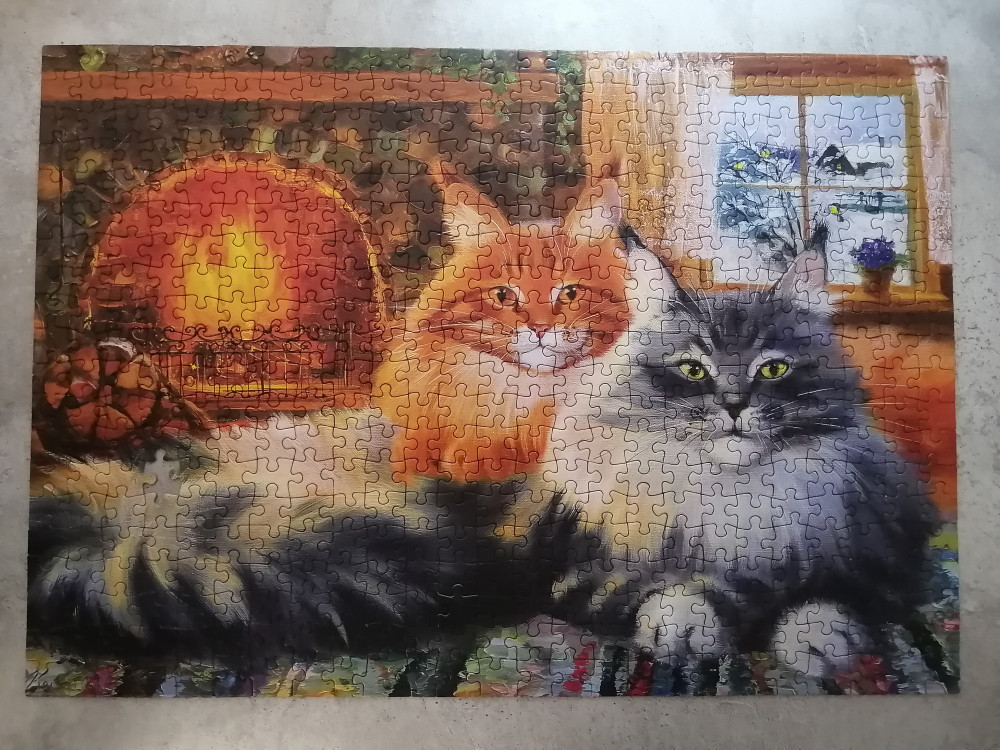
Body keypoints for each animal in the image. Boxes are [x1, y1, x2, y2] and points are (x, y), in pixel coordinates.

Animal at [514, 226, 941, 684]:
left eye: (773, 369)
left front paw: (816, 639)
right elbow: (669, 590)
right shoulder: (583, 576)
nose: (735, 405)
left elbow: (826, 598)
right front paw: (685, 627)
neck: (734, 499)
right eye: (693, 369)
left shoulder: (885, 565)